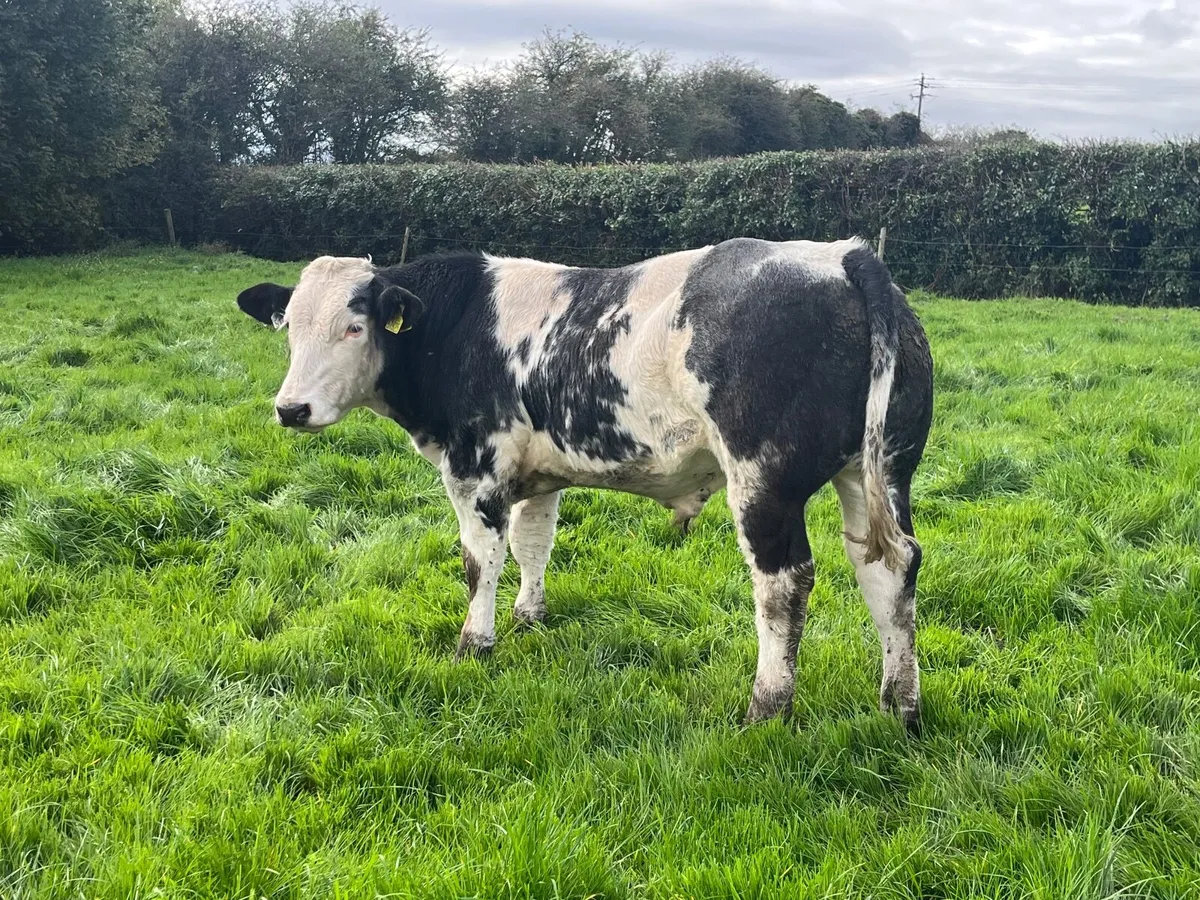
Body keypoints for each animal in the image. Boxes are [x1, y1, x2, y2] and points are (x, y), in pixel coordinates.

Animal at [236, 237, 934, 730]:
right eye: (289, 326)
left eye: (354, 327)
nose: (291, 409)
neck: (454, 325)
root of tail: (842, 255)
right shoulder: (539, 475)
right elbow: (533, 544)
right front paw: (528, 617)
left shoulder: (475, 467)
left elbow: (480, 560)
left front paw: (474, 644)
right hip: (879, 472)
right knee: (888, 566)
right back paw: (899, 705)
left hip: (765, 483)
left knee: (783, 585)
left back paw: (767, 708)